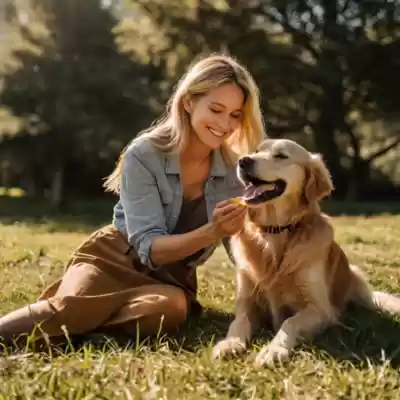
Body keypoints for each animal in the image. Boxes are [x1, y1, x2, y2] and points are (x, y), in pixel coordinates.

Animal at [212, 139, 400, 368]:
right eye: (256, 151)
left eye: (281, 156)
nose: (243, 161)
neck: (274, 233)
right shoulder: (247, 301)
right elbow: (239, 322)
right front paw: (229, 343)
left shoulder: (321, 310)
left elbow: (289, 322)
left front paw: (273, 350)